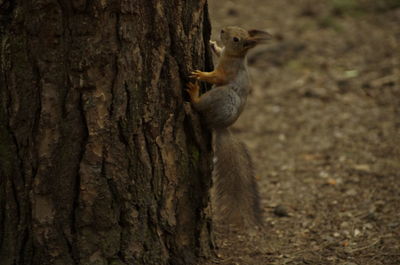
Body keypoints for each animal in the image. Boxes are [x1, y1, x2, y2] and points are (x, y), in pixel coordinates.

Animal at [187, 25, 268, 226]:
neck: (233, 56)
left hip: (220, 96)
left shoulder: (227, 72)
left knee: (198, 106)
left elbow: (216, 77)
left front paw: (201, 74)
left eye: (236, 39)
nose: (222, 30)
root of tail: (219, 126)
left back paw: (194, 94)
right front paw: (212, 44)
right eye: (237, 28)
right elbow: (218, 51)